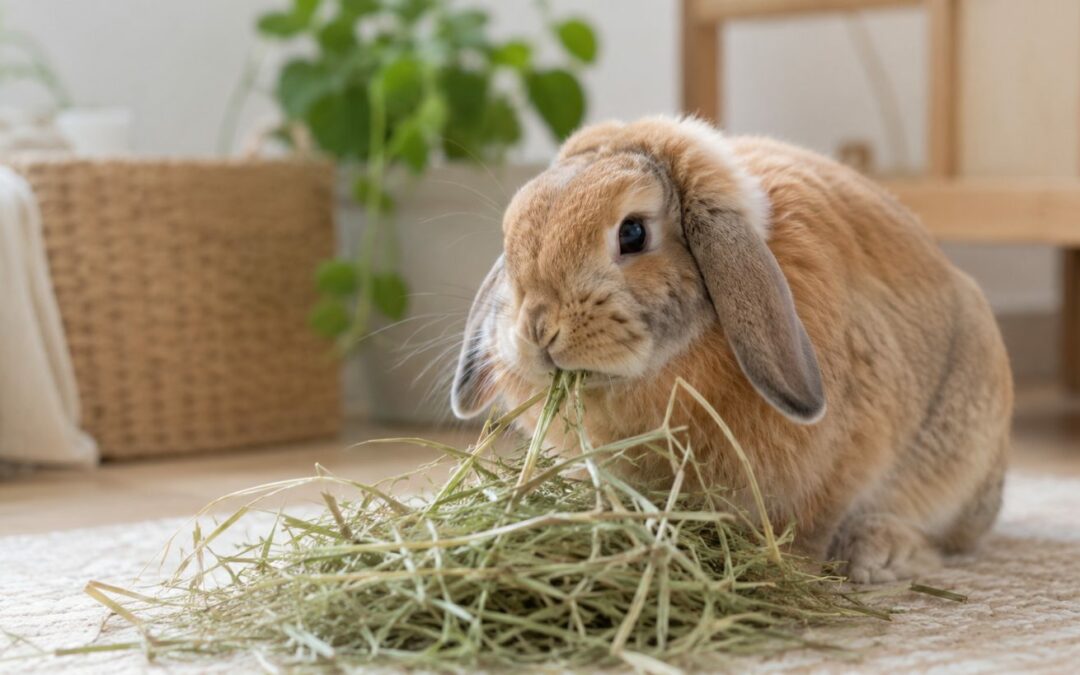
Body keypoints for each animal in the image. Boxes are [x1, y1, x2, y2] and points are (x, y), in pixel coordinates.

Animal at [450, 116, 1012, 584]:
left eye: (632, 232)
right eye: (509, 238)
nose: (538, 328)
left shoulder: (845, 461)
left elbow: (814, 524)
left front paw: (791, 570)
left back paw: (879, 554)